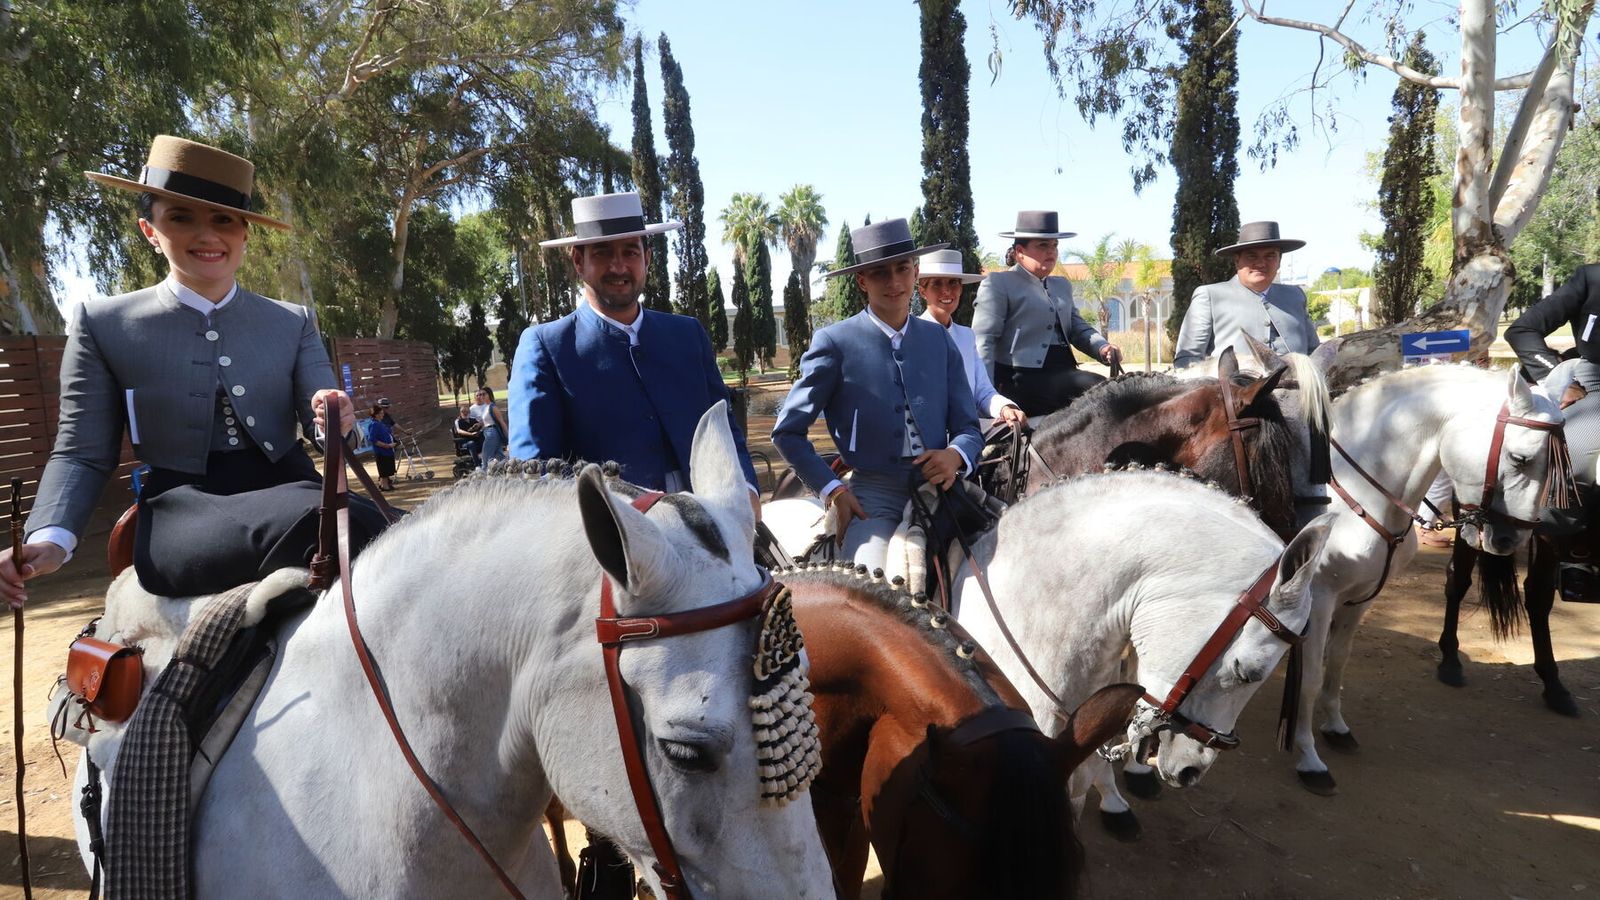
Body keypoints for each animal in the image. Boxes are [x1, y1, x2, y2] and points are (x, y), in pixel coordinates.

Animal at [1280, 363, 1570, 795]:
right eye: (1520, 458)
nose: (1510, 540)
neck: (1353, 493)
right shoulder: (1319, 598)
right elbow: (1311, 677)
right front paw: (1309, 758)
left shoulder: (1360, 598)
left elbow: (1338, 662)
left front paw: (1335, 727)